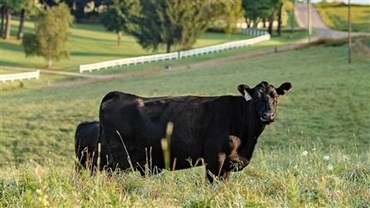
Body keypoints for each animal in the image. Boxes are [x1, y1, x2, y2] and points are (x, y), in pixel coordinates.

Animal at [98, 81, 292, 182]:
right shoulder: (215, 157)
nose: (268, 115)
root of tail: (118, 94)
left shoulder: (229, 162)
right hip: (119, 159)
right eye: (256, 98)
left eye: (275, 97)